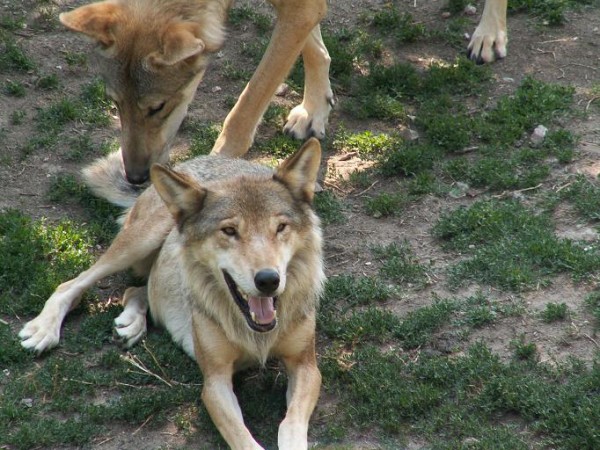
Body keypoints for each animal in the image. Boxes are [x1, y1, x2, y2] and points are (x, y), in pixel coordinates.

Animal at [18, 139, 326, 448]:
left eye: (281, 227)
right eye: (229, 231)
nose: (268, 280)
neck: (257, 337)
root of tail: (186, 164)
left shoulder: (306, 367)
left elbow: (290, 424)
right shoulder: (214, 381)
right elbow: (243, 439)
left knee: (136, 290)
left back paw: (132, 323)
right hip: (140, 242)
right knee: (72, 284)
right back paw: (44, 330)